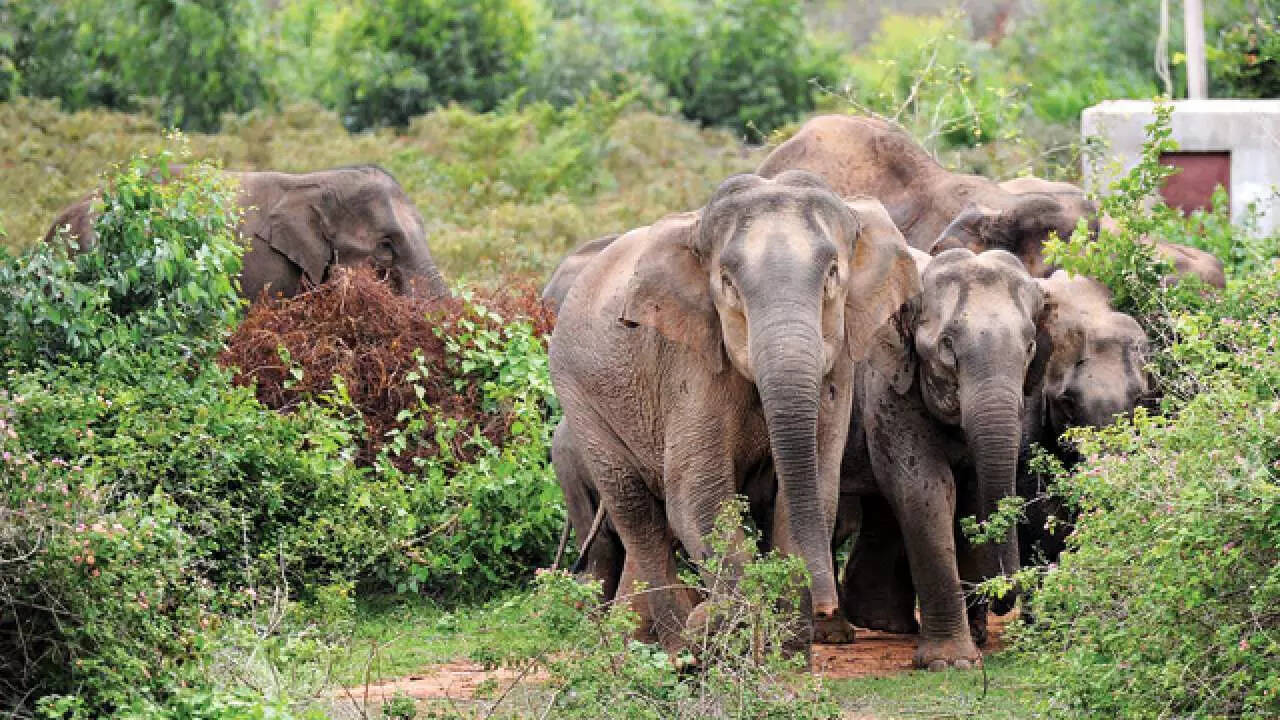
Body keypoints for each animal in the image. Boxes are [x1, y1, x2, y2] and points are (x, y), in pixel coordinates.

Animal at [549, 172, 919, 658]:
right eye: (727, 283)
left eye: (832, 275)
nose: (826, 606)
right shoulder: (690, 360)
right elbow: (699, 499)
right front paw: (734, 635)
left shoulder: (839, 365)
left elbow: (815, 488)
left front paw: (787, 655)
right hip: (580, 400)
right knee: (637, 515)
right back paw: (674, 648)